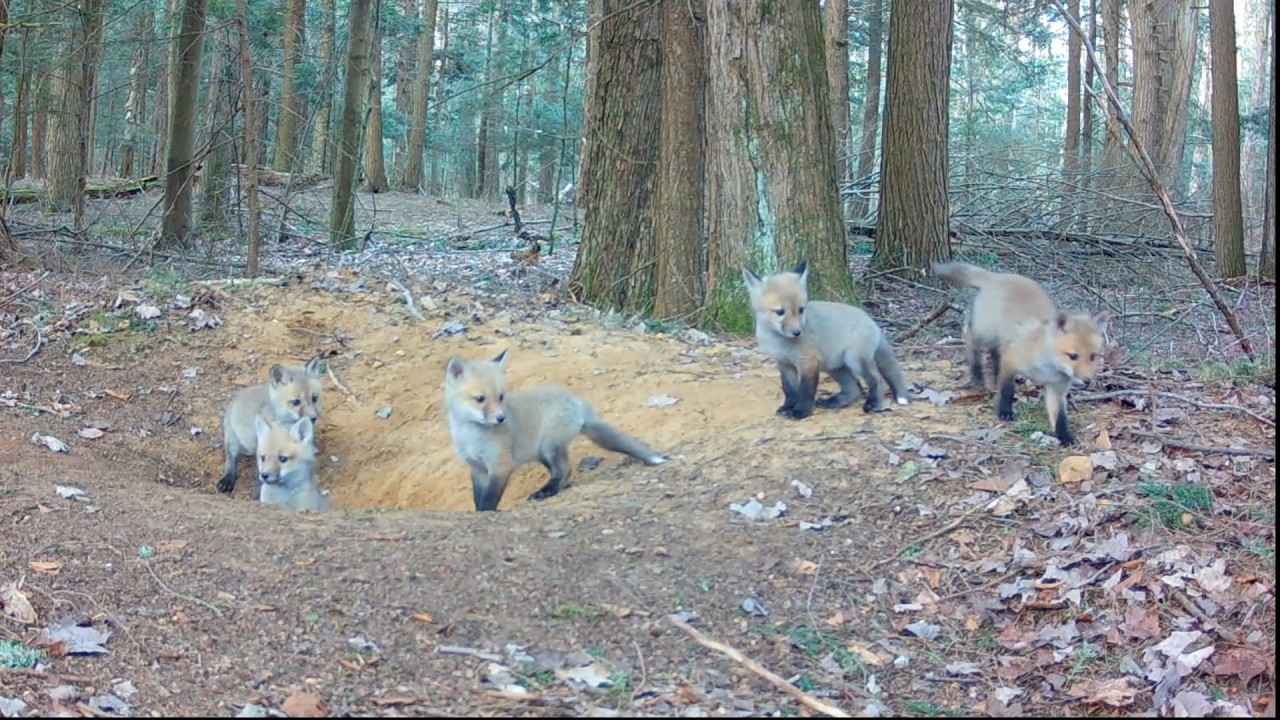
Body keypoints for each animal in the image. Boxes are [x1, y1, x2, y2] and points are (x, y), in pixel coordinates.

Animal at [217, 358, 323, 494]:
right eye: (295, 402)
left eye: (314, 398)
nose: (313, 418)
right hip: (233, 441)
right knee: (230, 461)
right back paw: (227, 478)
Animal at [443, 350, 668, 512]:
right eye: (480, 399)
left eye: (500, 396)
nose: (501, 418)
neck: (471, 437)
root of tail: (577, 400)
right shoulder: (477, 468)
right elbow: (477, 497)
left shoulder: (500, 466)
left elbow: (489, 499)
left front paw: (486, 512)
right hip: (541, 452)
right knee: (561, 471)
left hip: (549, 446)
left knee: (564, 469)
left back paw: (546, 492)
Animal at [742, 261, 912, 420]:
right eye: (780, 312)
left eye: (801, 310)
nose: (797, 332)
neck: (778, 341)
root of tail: (872, 322)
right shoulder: (783, 363)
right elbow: (789, 390)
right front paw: (787, 407)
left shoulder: (808, 362)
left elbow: (805, 390)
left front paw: (800, 411)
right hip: (834, 367)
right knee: (855, 389)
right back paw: (833, 402)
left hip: (854, 359)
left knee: (876, 379)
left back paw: (873, 404)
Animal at [931, 261, 1111, 447]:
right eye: (1073, 356)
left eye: (1093, 356)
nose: (1087, 381)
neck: (1049, 367)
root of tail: (997, 275)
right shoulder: (1012, 360)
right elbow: (1007, 390)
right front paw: (1004, 411)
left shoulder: (1056, 388)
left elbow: (1059, 417)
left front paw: (1065, 436)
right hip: (985, 332)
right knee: (971, 341)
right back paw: (977, 375)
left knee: (995, 354)